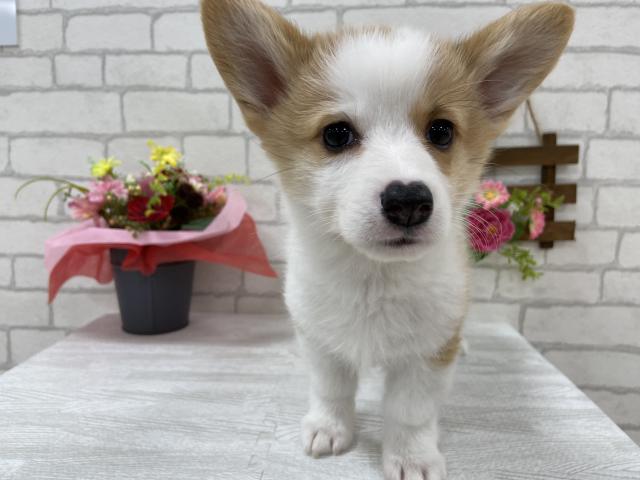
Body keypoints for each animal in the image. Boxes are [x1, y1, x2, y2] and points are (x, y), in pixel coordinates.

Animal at [201, 1, 574, 478]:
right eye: (336, 134)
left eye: (441, 131)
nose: (409, 200)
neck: (374, 278)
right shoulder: (320, 340)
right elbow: (331, 389)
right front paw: (330, 429)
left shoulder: (428, 353)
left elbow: (409, 411)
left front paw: (411, 457)